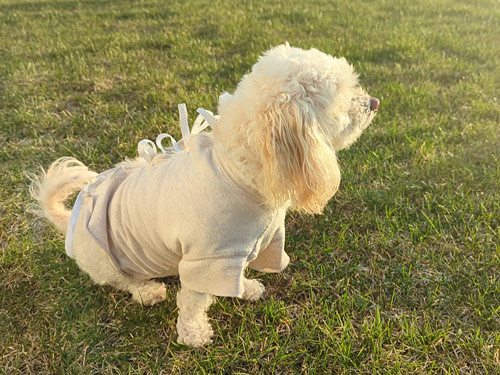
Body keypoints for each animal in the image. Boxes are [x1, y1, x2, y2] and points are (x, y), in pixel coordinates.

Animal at [30, 44, 378, 350]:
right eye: (341, 95)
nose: (374, 101)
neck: (239, 168)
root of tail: (69, 221)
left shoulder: (238, 252)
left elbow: (238, 276)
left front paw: (246, 288)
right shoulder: (206, 258)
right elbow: (194, 302)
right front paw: (193, 334)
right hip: (107, 261)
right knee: (123, 282)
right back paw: (147, 292)